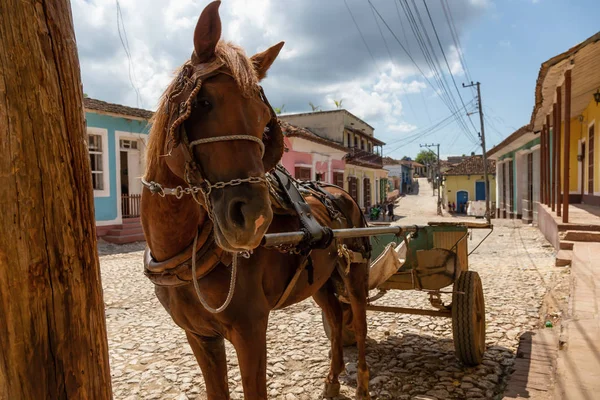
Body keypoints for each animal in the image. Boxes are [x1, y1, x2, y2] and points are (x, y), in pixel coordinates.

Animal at [142, 1, 370, 398]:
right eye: (203, 102)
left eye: (265, 122)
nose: (254, 220)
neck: (184, 250)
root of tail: (340, 192)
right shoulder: (199, 335)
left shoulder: (250, 330)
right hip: (321, 280)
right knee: (334, 316)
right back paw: (331, 380)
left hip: (354, 274)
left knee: (358, 320)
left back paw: (363, 386)